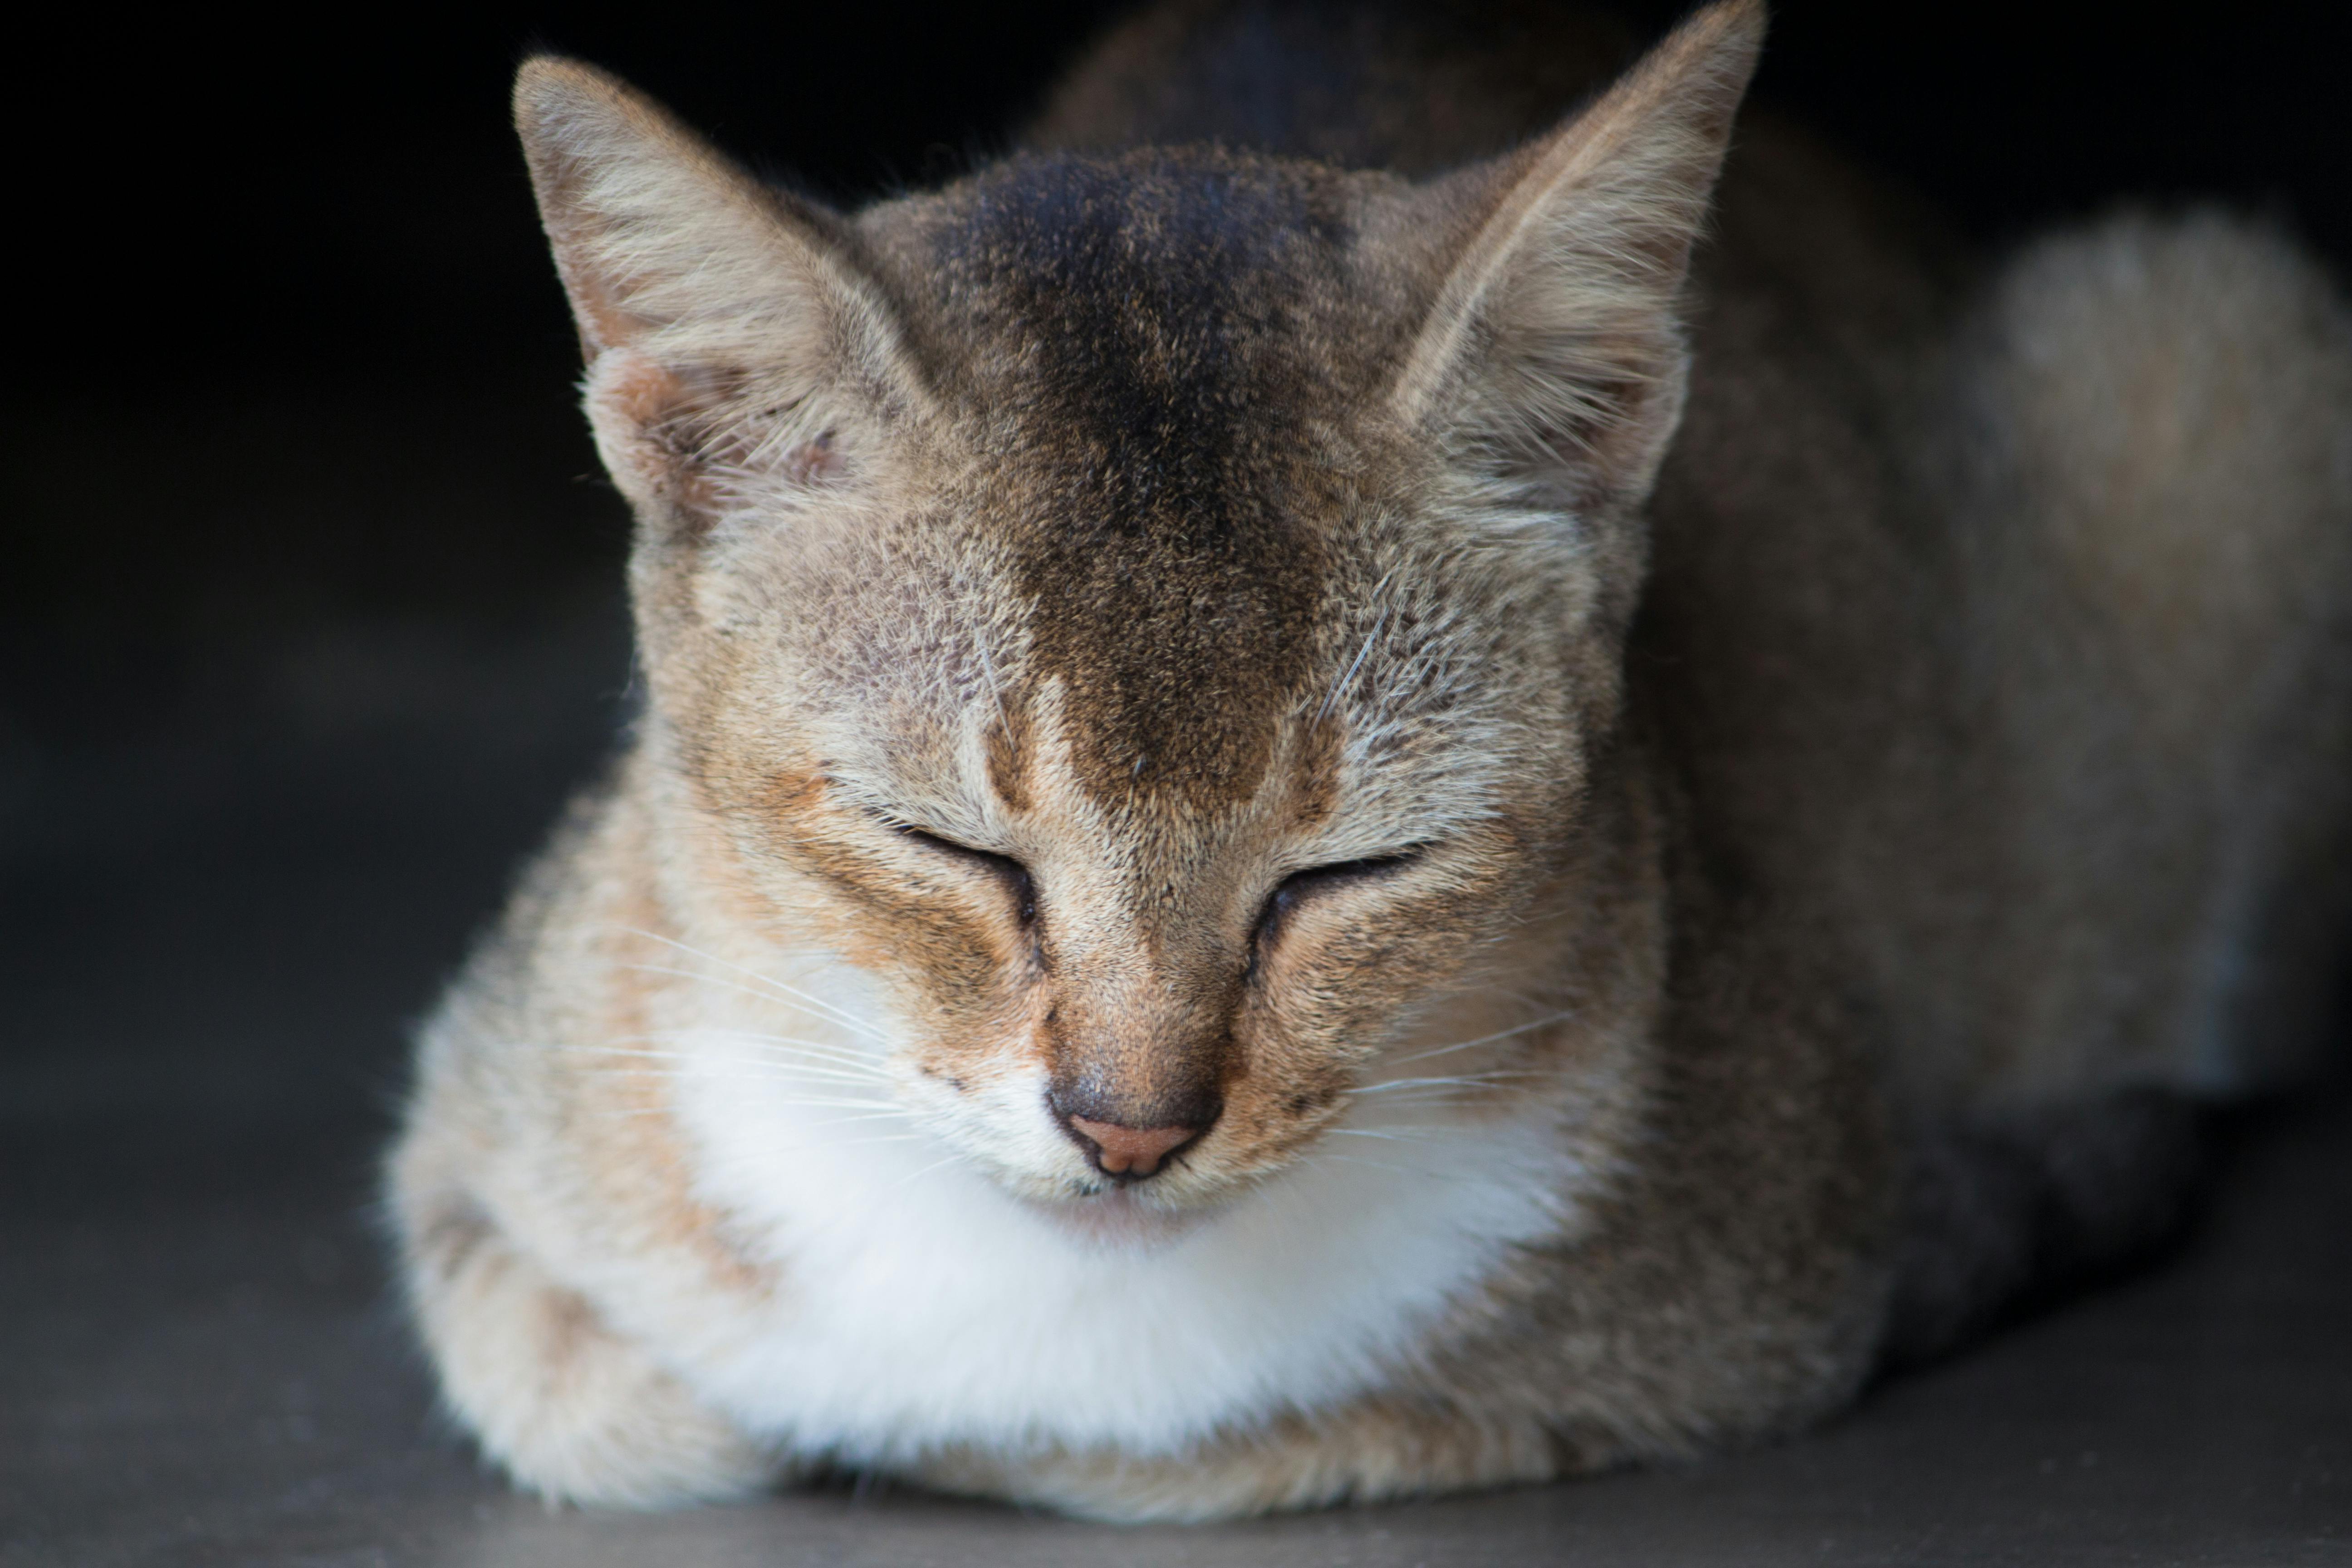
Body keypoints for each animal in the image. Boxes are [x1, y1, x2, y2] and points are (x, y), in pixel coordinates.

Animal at [381, 0, 2352, 1523]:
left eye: (1351, 871)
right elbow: (612, 1395)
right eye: (949, 848)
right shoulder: (475, 1132)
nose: (1128, 1128)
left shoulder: (1789, 1265)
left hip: (2209, 342)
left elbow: (1217, 1444)